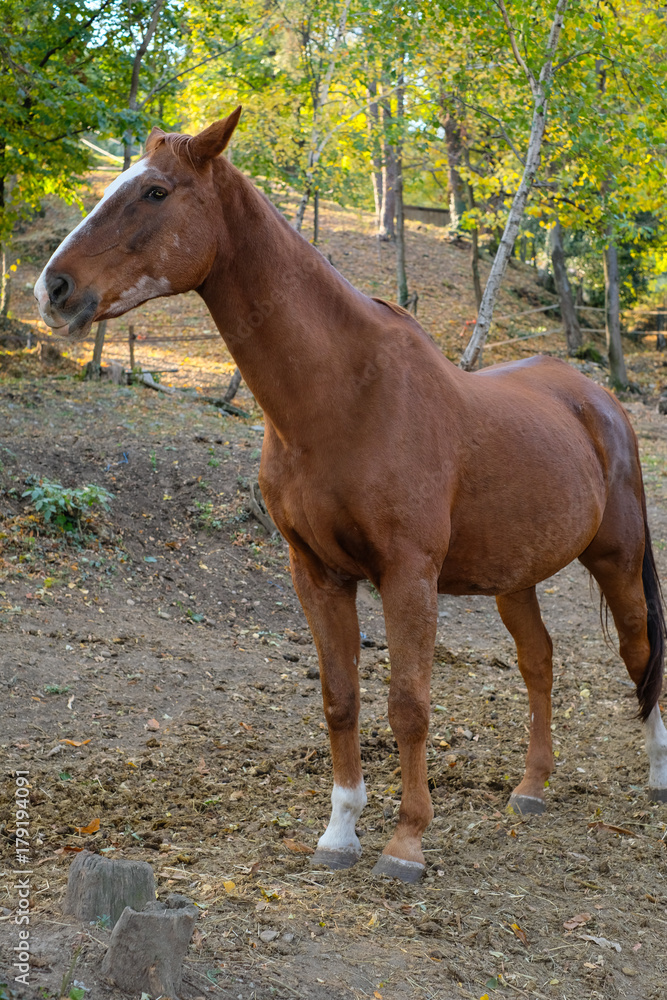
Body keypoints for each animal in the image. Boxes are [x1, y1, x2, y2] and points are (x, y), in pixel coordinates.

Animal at [35, 109, 667, 883]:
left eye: (155, 191)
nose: (53, 289)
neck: (344, 397)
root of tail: (596, 399)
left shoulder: (407, 575)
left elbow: (408, 705)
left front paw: (405, 844)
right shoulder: (316, 573)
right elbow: (341, 700)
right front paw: (339, 834)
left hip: (615, 559)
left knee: (639, 653)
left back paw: (656, 776)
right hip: (515, 577)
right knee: (539, 662)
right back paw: (530, 788)